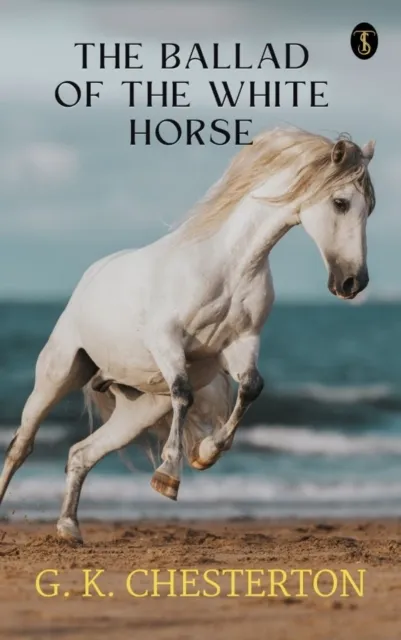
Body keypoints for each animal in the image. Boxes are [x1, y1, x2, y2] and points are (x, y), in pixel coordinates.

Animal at [0, 126, 376, 543]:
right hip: (58, 373)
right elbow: (183, 392)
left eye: (370, 208)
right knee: (21, 445)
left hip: (138, 409)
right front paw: (167, 477)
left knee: (80, 454)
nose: (353, 283)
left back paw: (69, 528)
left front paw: (205, 454)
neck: (229, 266)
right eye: (341, 202)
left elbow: (251, 388)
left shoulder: (241, 343)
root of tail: (90, 278)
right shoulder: (166, 340)